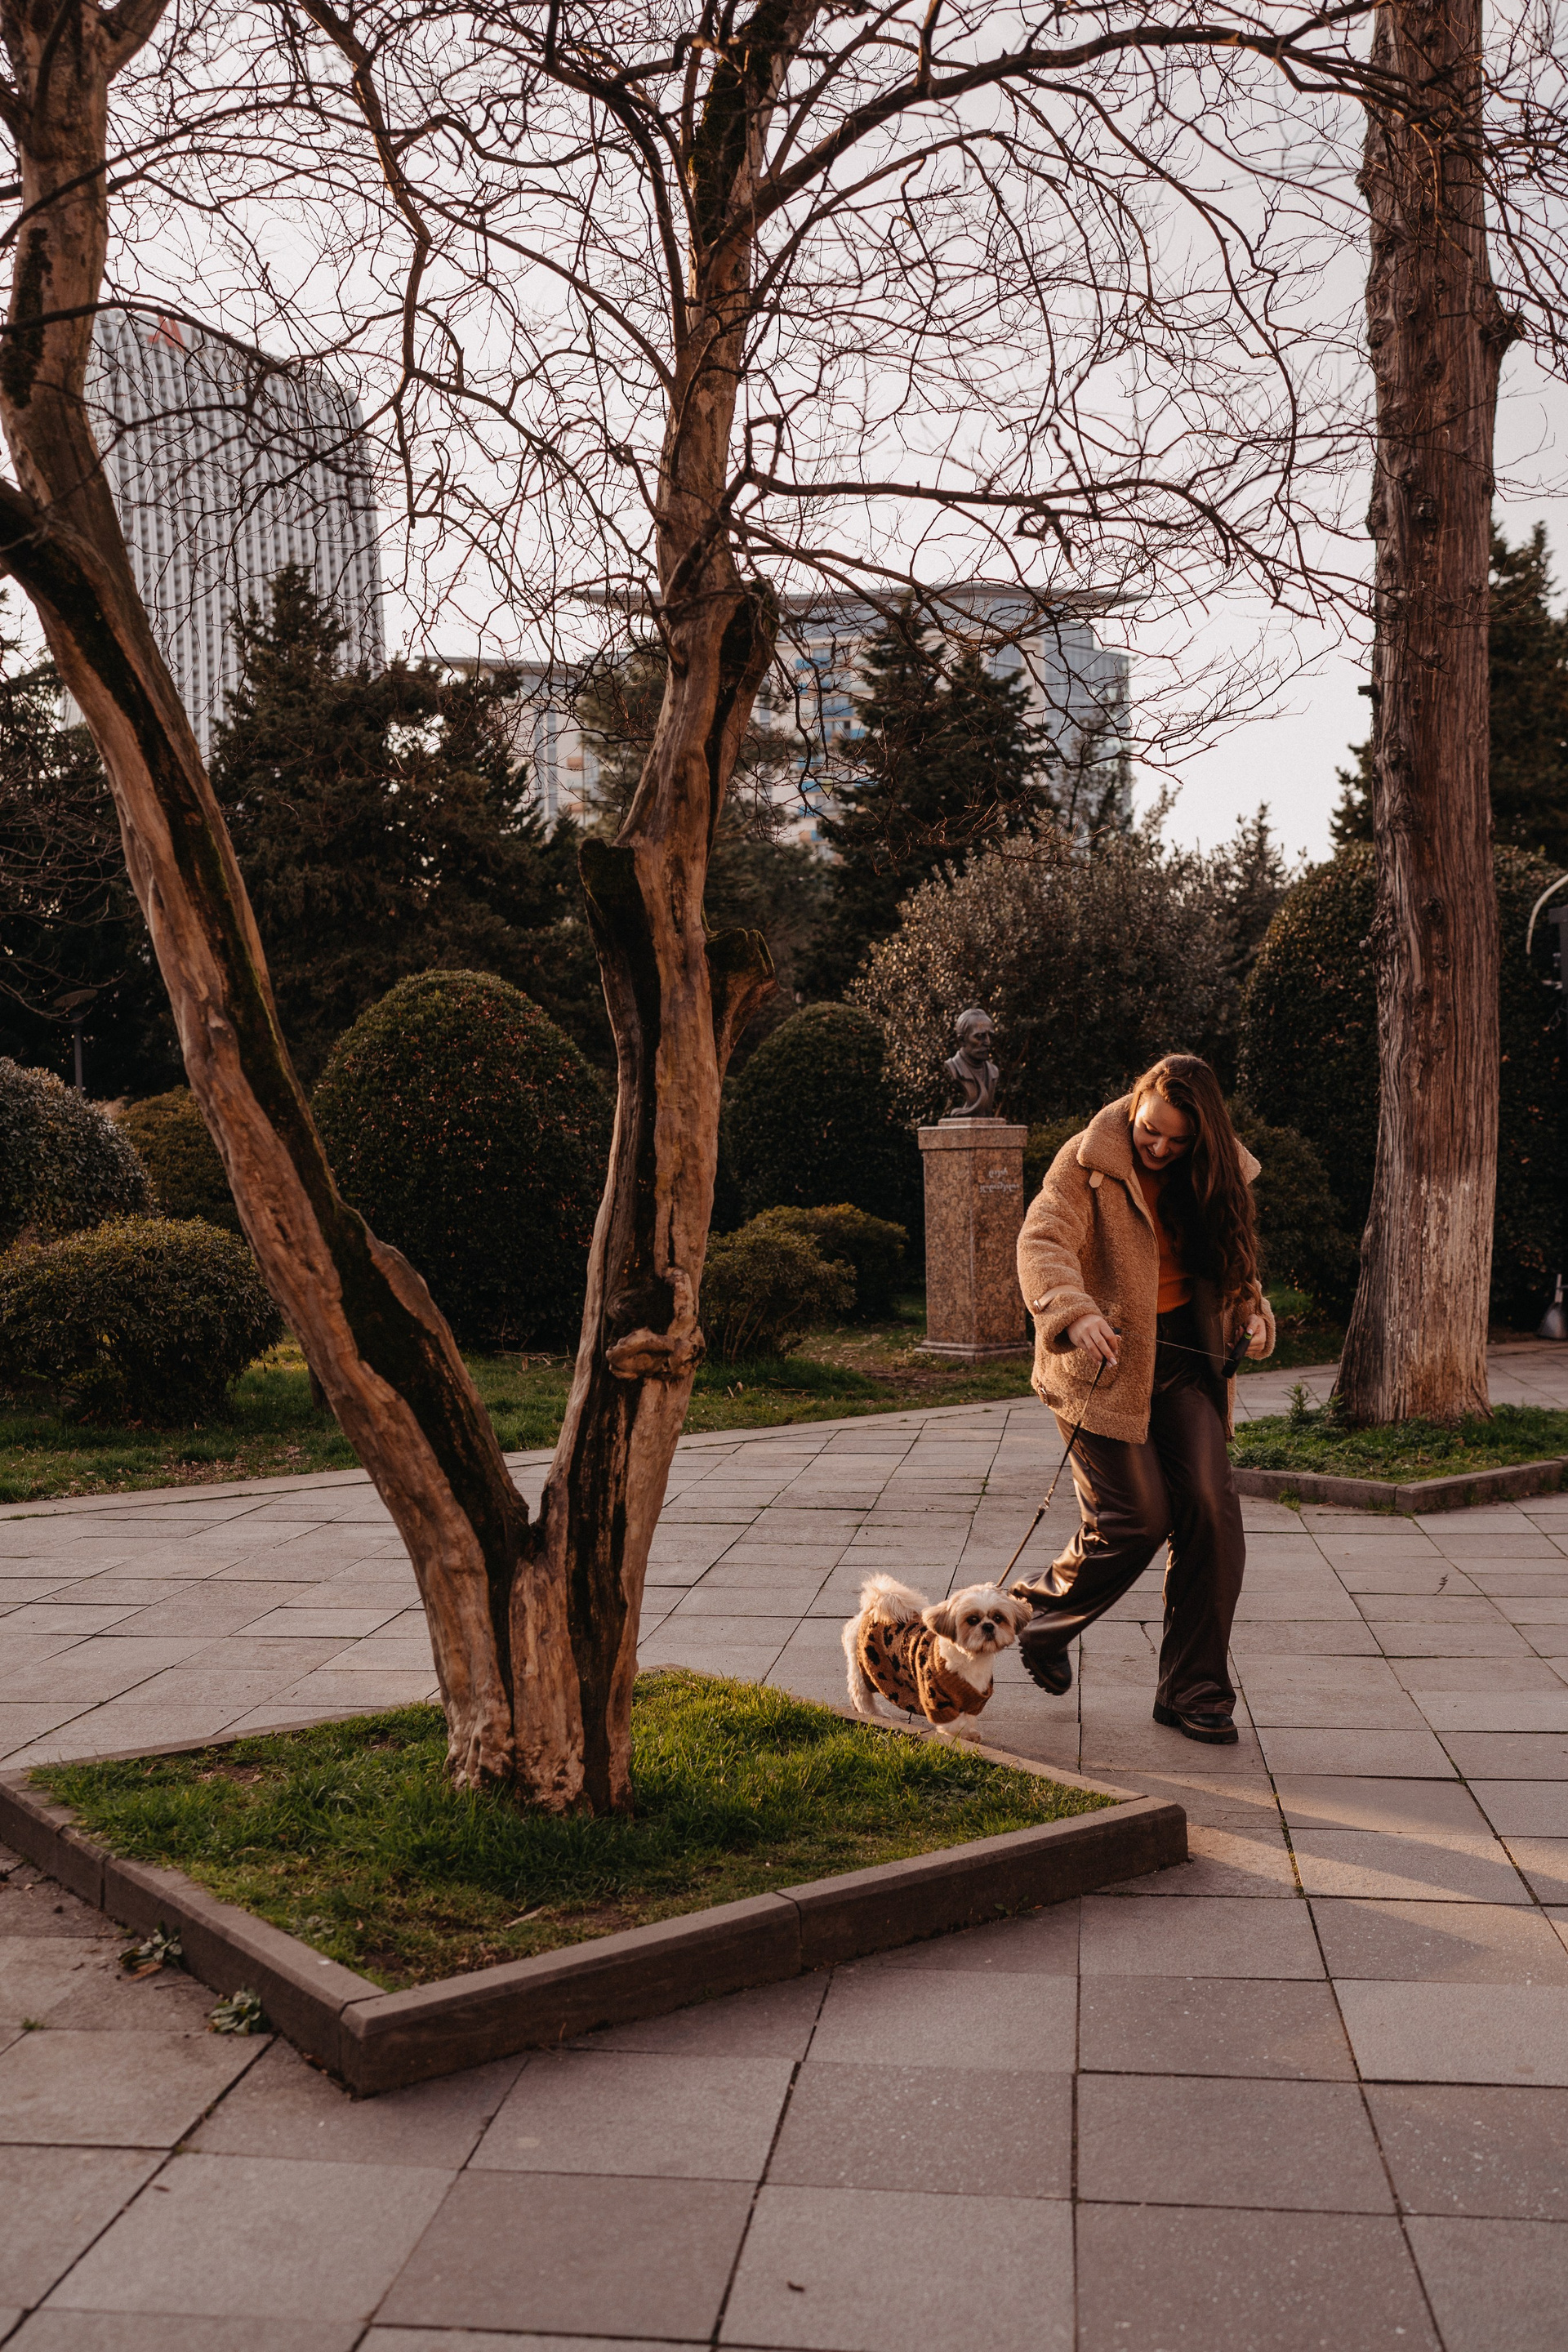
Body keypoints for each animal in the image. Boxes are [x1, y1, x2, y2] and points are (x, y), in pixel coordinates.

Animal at [842, 1574, 1033, 1738]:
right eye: (972, 1620)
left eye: (998, 1618)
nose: (988, 1626)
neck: (970, 1660)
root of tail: (870, 1610)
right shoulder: (937, 1700)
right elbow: (954, 1723)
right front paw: (960, 1737)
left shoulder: (973, 1699)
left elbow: (968, 1718)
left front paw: (970, 1734)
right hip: (863, 1667)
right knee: (861, 1693)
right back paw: (874, 1713)